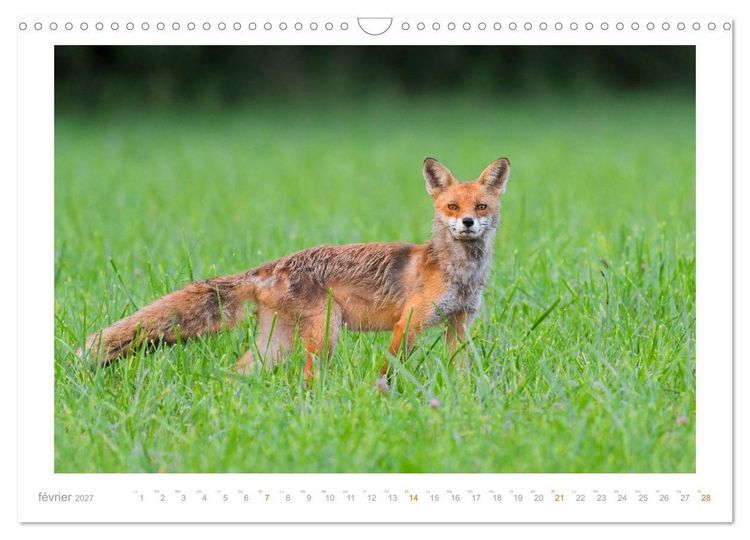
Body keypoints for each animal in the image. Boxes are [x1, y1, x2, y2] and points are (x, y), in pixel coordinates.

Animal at [81, 157, 511, 384]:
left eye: (481, 207)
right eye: (452, 206)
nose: (468, 223)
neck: (456, 272)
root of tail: (274, 264)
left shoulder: (459, 323)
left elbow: (463, 369)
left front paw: (465, 398)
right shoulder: (409, 323)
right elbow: (389, 368)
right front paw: (382, 396)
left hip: (276, 342)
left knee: (239, 369)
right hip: (324, 334)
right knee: (306, 377)